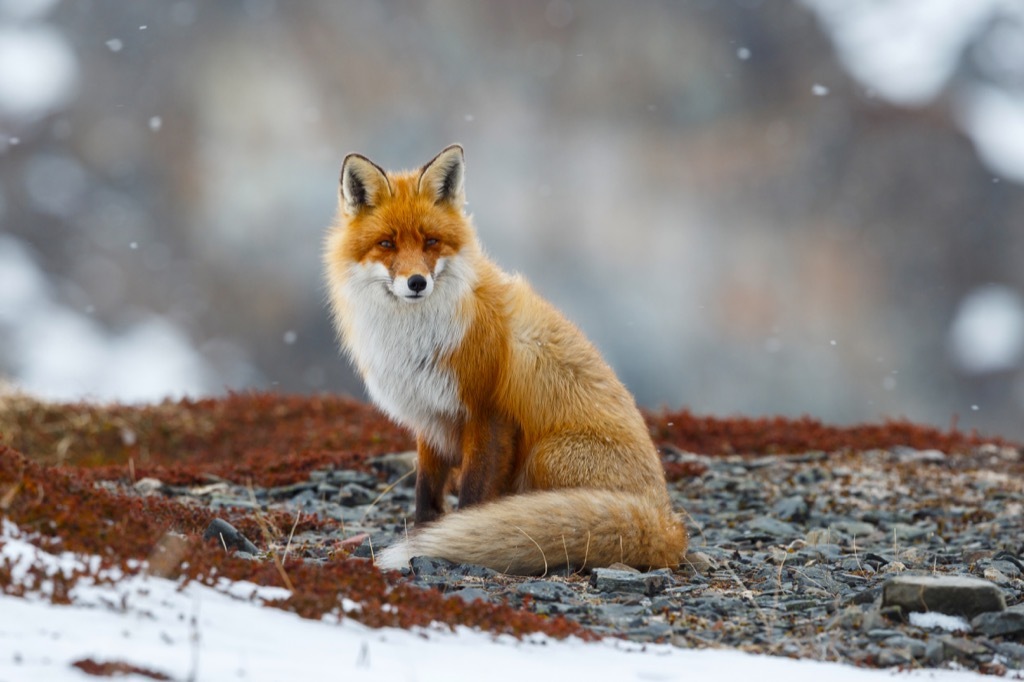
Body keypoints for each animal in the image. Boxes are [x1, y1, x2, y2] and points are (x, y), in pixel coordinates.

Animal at [323, 144, 688, 575]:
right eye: (387, 243)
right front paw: (423, 534)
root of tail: (669, 522)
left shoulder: (489, 414)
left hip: (546, 455)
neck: (417, 338)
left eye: (431, 241)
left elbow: (472, 494)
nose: (416, 283)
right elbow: (426, 490)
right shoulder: (430, 415)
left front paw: (454, 538)